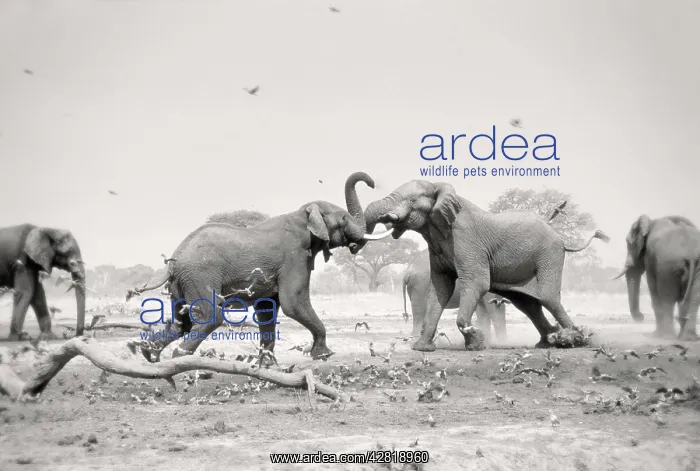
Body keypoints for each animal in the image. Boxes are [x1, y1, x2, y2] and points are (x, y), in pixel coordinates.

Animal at [130, 171, 379, 362]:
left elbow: (268, 310)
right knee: (210, 316)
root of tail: (174, 259)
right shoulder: (295, 256)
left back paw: (149, 354)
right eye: (344, 219)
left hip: (183, 282)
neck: (303, 213)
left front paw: (266, 365)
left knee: (181, 323)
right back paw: (179, 357)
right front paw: (324, 355)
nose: (372, 183)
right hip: (199, 275)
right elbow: (293, 303)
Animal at [361, 179, 609, 351]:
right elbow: (441, 288)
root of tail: (562, 240)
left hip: (549, 255)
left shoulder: (466, 240)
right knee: (527, 304)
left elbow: (477, 284)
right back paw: (550, 339)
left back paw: (577, 339)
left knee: (548, 298)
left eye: (413, 200)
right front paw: (422, 348)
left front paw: (476, 343)